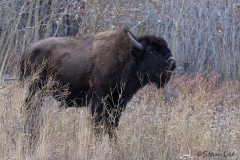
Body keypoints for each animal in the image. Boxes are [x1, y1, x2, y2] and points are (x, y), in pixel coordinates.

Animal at [20, 28, 176, 141]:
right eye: (151, 51)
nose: (172, 62)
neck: (127, 57)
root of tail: (28, 49)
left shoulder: (118, 102)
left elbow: (112, 125)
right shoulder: (99, 101)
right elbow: (98, 124)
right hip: (36, 89)